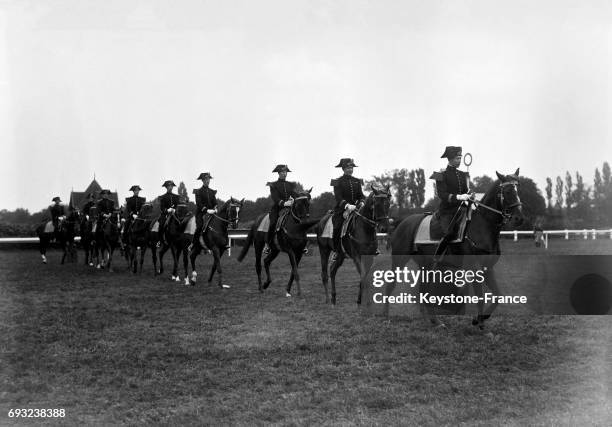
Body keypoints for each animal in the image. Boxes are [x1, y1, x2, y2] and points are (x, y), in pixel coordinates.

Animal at [388, 169, 524, 330]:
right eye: (508, 191)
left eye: (518, 189)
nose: (519, 218)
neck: (482, 227)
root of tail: (402, 222)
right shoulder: (475, 269)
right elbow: (480, 297)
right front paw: (478, 321)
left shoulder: (488, 268)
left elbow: (498, 295)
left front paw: (481, 319)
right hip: (399, 260)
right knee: (390, 286)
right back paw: (385, 315)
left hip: (426, 265)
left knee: (423, 291)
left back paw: (434, 321)